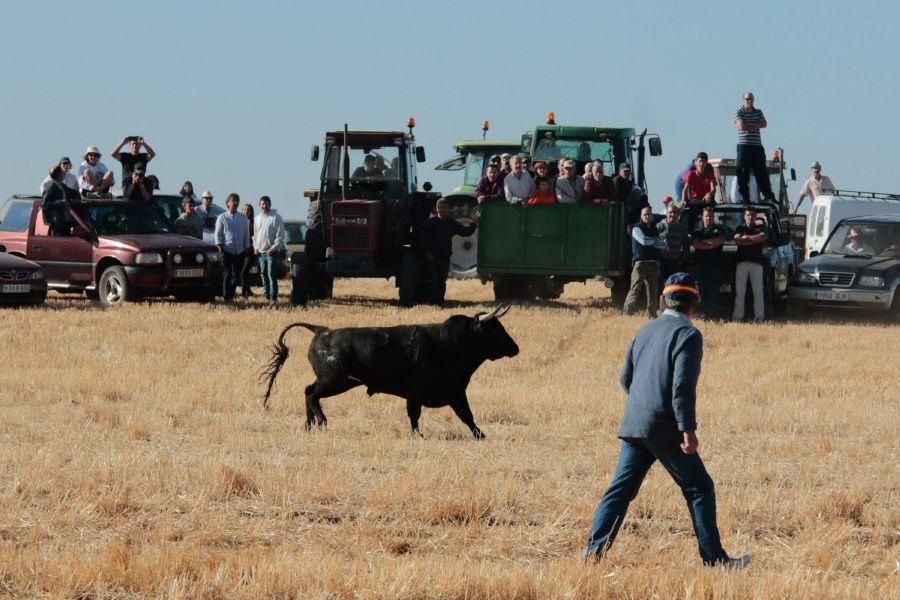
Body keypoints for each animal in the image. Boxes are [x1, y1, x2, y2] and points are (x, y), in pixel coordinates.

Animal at [256, 308, 516, 438]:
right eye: (495, 330)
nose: (516, 348)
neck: (448, 343)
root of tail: (321, 330)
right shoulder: (422, 393)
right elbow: (418, 416)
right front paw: (419, 436)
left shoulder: (455, 392)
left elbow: (467, 416)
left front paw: (481, 435)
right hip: (334, 381)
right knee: (311, 393)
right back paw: (321, 421)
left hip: (339, 382)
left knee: (308, 393)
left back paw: (309, 425)